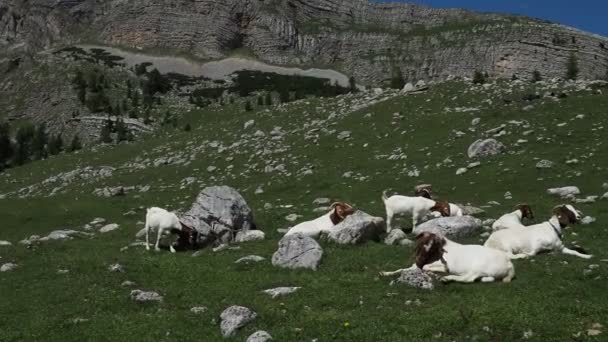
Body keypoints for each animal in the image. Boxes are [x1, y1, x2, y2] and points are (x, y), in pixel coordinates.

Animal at [382, 231, 516, 284]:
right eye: (419, 244)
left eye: (434, 248)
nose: (419, 260)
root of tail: (509, 264)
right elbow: (401, 269)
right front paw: (385, 273)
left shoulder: (443, 265)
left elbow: (426, 267)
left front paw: (432, 272)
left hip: (478, 267)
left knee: (468, 279)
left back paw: (447, 278)